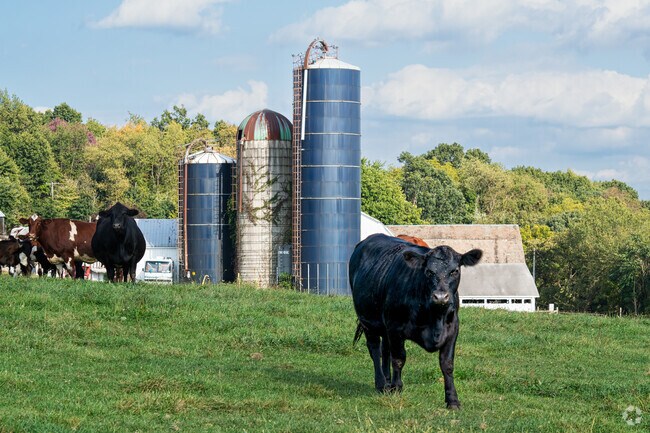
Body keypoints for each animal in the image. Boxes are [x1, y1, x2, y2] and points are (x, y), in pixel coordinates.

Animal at [349, 233, 482, 409]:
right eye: (429, 271)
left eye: (455, 271)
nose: (440, 297)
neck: (434, 317)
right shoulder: (395, 327)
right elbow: (399, 359)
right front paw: (397, 388)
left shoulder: (453, 329)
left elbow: (447, 364)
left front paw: (453, 400)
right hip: (367, 320)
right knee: (375, 349)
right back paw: (382, 384)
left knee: (385, 349)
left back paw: (387, 383)